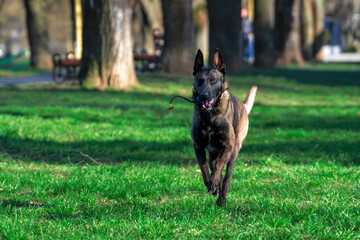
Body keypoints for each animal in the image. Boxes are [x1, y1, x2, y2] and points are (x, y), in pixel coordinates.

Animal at [191, 49, 256, 206]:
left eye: (213, 80)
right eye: (200, 80)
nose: (204, 95)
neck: (210, 115)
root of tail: (243, 106)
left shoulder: (228, 145)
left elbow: (220, 165)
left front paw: (214, 185)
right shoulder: (198, 145)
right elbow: (203, 167)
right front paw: (210, 183)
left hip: (234, 151)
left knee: (226, 176)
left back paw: (222, 198)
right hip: (213, 153)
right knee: (215, 167)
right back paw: (215, 188)